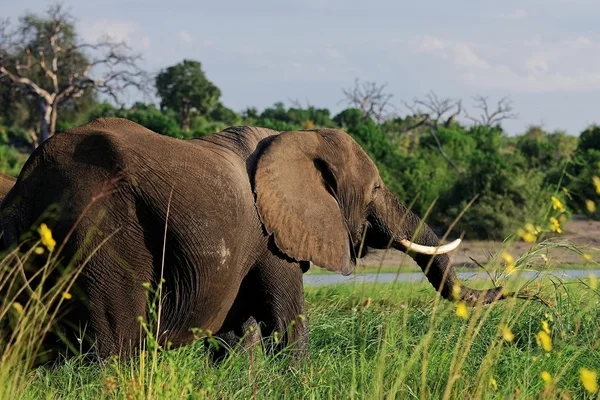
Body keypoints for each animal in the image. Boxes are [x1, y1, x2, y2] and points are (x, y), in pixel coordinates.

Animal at [0, 116, 510, 362]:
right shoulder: (270, 239)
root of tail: (30, 180)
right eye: (377, 189)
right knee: (113, 345)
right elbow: (286, 327)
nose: (507, 291)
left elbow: (238, 335)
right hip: (101, 233)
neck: (295, 138)